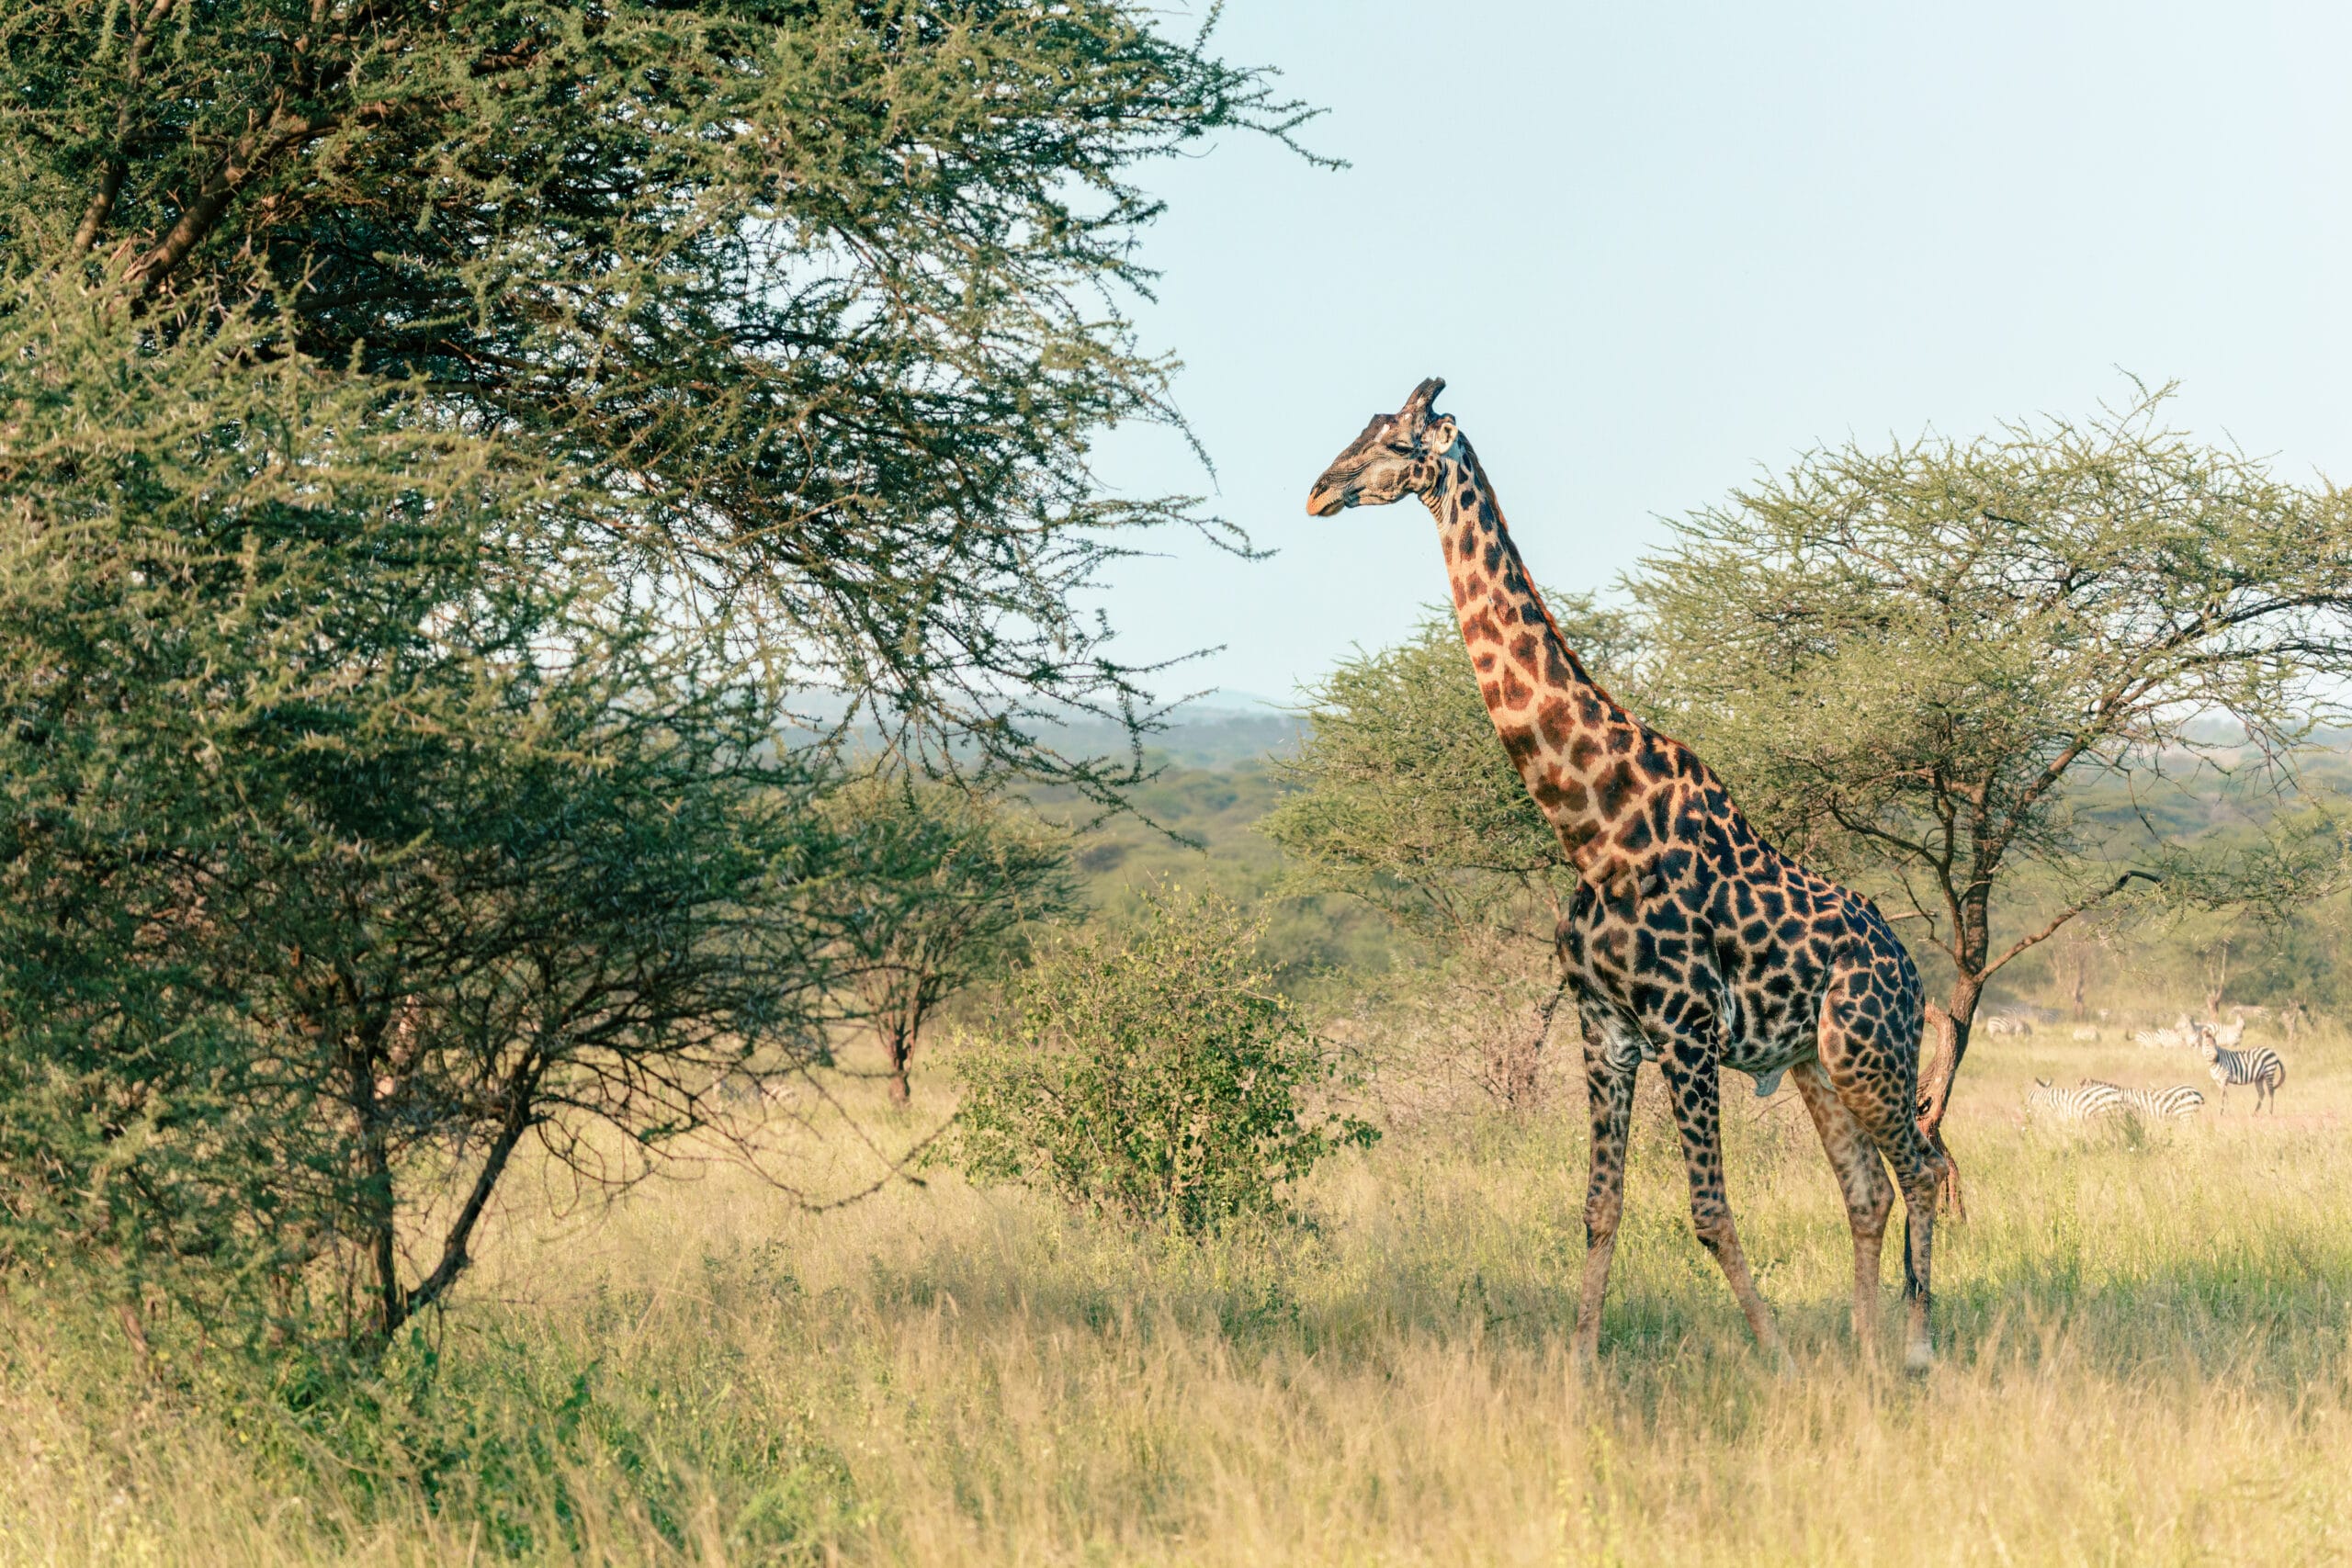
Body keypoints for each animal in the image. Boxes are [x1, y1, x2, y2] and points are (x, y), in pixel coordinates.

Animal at [1306, 378, 1947, 1372]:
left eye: (1402, 442)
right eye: (1363, 429)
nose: (1318, 491)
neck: (1591, 826)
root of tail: (1913, 973)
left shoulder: (1686, 1028)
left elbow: (1710, 1212)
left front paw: (1778, 1357)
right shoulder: (1603, 1025)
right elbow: (1599, 1206)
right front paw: (1578, 1367)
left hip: (1866, 1049)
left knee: (1923, 1166)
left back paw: (1912, 1350)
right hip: (1812, 1059)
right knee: (1868, 1187)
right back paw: (1863, 1347)